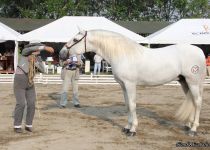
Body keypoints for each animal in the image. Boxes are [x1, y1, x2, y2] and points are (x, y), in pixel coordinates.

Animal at [60, 29, 206, 136]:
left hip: (193, 82)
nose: (61, 54)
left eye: (75, 39)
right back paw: (187, 125)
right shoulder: (123, 85)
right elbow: (127, 106)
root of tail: (199, 51)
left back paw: (193, 129)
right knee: (192, 101)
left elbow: (132, 105)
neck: (123, 54)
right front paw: (126, 127)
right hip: (184, 82)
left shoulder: (130, 84)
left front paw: (133, 130)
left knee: (198, 102)